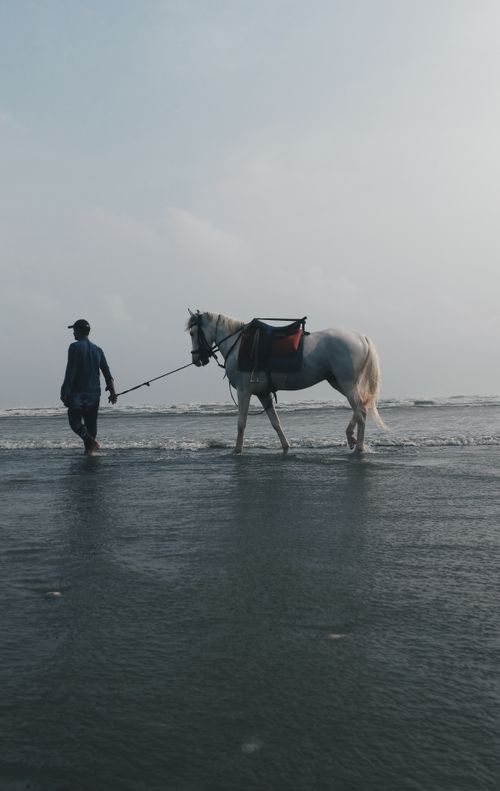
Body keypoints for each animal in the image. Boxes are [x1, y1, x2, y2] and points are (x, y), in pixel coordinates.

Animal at [186, 310, 386, 453]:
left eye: (193, 333)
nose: (197, 359)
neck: (238, 344)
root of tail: (361, 337)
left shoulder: (244, 391)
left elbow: (241, 422)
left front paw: (237, 450)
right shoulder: (263, 394)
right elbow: (275, 422)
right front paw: (285, 446)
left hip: (346, 383)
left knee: (361, 412)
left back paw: (358, 447)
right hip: (339, 382)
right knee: (360, 407)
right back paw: (351, 437)